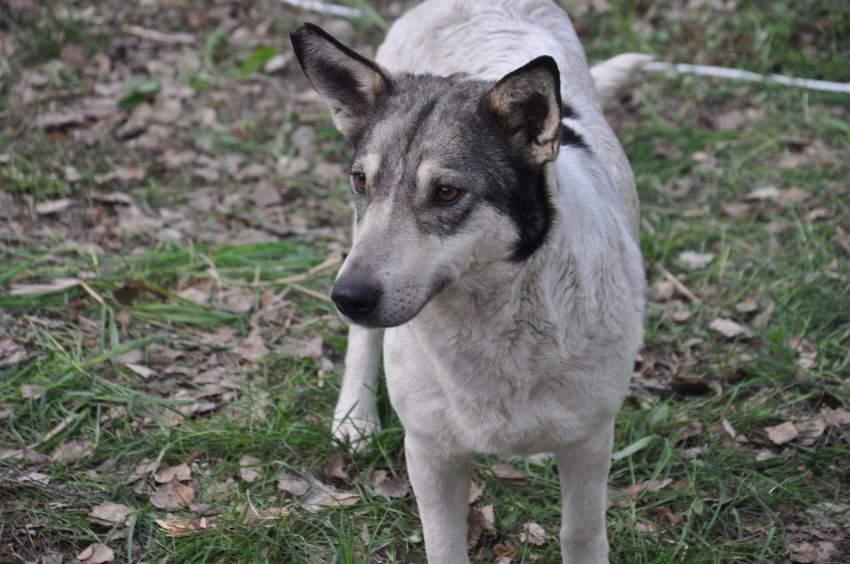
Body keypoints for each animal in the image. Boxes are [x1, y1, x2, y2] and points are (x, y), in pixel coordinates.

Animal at [290, 2, 644, 560]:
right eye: (362, 181)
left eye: (447, 193)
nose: (347, 298)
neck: (490, 319)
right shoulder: (430, 454)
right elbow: (443, 543)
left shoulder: (590, 443)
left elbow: (580, 532)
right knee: (363, 340)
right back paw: (355, 416)